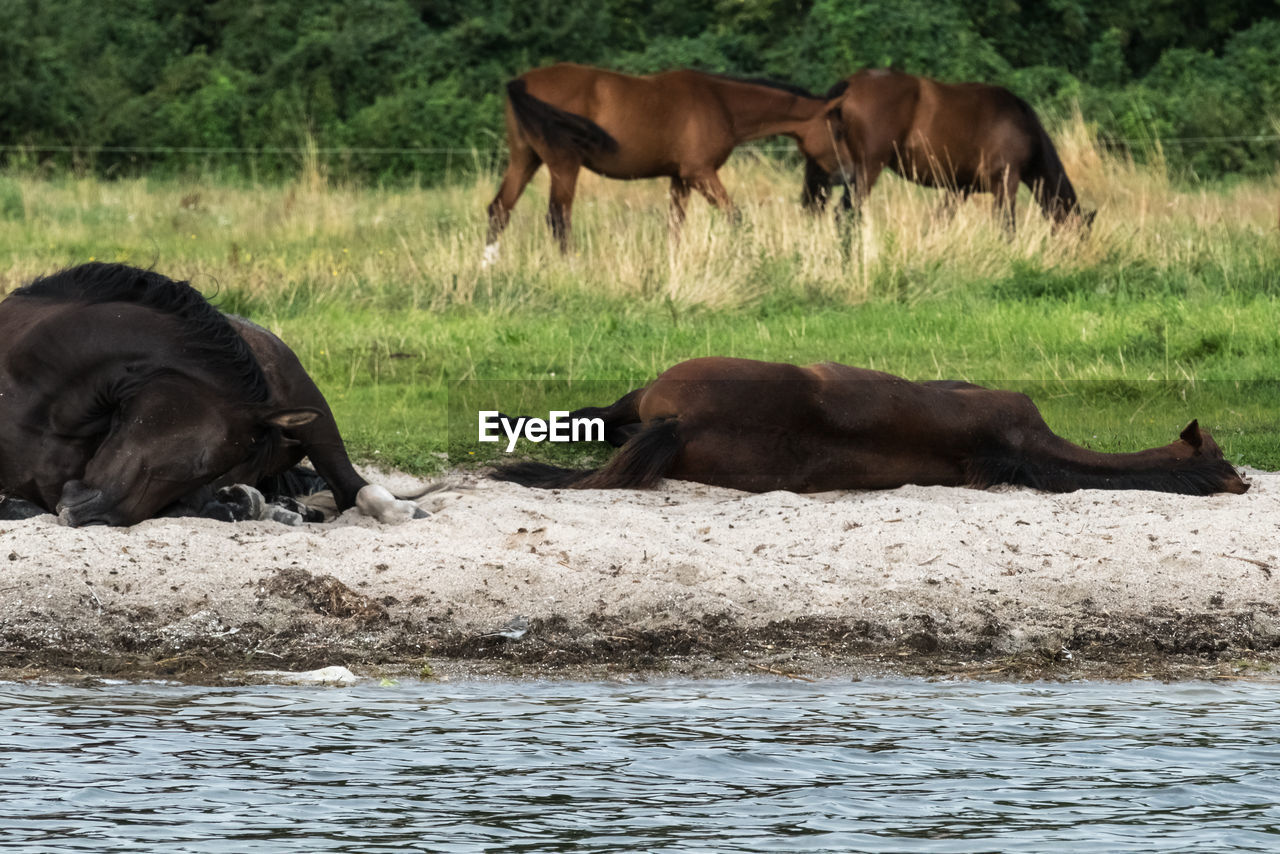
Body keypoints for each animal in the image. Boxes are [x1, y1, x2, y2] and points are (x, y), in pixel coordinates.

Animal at [481, 63, 849, 257]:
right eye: (838, 131)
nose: (845, 175)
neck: (720, 103)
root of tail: (521, 82)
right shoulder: (701, 174)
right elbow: (734, 216)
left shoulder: (680, 178)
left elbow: (675, 225)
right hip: (563, 166)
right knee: (558, 218)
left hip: (525, 161)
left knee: (500, 209)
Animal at [798, 69, 1090, 230]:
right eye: (1080, 236)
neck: (1021, 123)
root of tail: (849, 87)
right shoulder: (1006, 182)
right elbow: (1007, 226)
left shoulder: (959, 189)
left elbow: (939, 223)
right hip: (866, 172)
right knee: (845, 215)